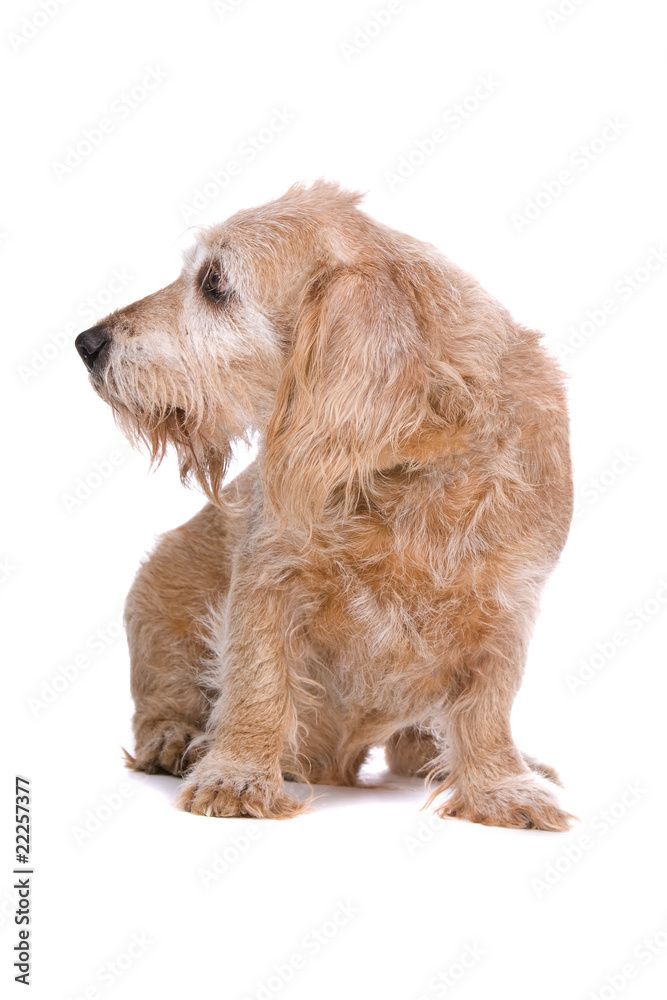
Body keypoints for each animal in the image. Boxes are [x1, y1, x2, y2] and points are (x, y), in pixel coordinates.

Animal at [73, 180, 576, 828]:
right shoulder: (268, 576)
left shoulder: (508, 605)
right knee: (163, 700)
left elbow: (488, 709)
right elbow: (257, 679)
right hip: (157, 595)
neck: (402, 465)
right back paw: (177, 739)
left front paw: (501, 786)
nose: (87, 343)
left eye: (214, 282)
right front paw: (237, 773)